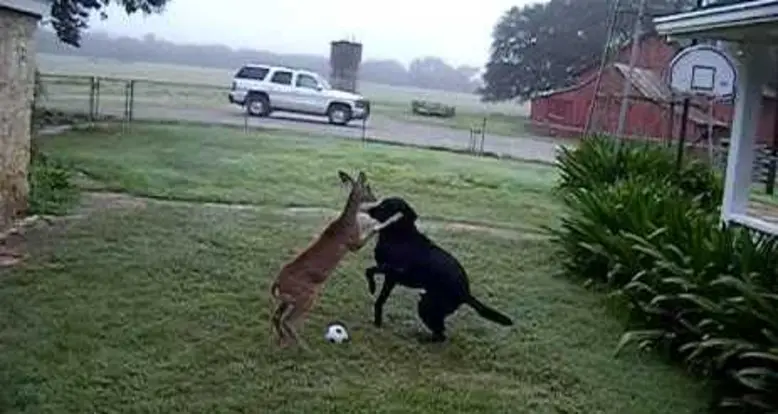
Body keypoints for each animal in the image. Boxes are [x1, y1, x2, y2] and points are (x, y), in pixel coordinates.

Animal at [360, 197, 512, 342]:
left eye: (386, 205)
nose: (368, 210)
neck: (399, 234)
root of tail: (466, 293)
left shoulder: (395, 270)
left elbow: (369, 270)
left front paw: (372, 287)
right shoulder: (391, 278)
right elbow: (379, 300)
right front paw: (377, 322)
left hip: (427, 306)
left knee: (441, 335)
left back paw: (421, 340)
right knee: (440, 333)